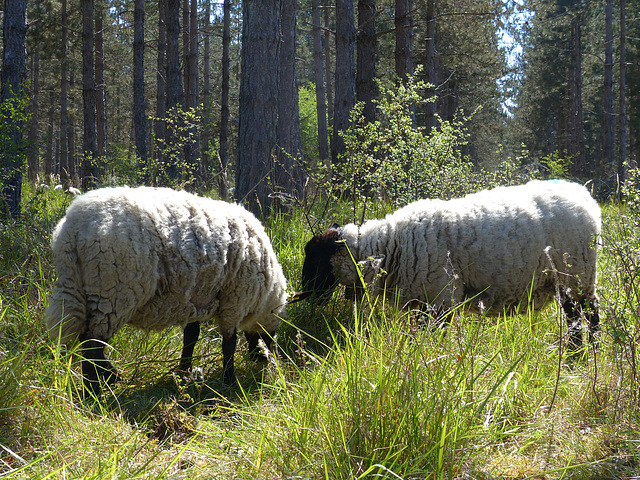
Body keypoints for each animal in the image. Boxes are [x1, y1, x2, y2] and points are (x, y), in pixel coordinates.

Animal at [48, 186, 288, 392]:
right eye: (273, 333)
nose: (270, 358)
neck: (266, 295)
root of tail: (72, 229)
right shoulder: (234, 300)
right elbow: (229, 343)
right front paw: (229, 380)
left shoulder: (196, 298)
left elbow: (191, 336)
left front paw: (184, 370)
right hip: (113, 292)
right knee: (92, 346)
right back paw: (94, 392)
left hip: (83, 289)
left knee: (85, 340)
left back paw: (110, 376)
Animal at [298, 180, 604, 344]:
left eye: (314, 258)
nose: (306, 294)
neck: (390, 247)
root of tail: (584, 196)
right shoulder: (422, 302)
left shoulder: (441, 299)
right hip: (567, 280)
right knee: (575, 318)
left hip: (578, 273)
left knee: (589, 315)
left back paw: (585, 355)